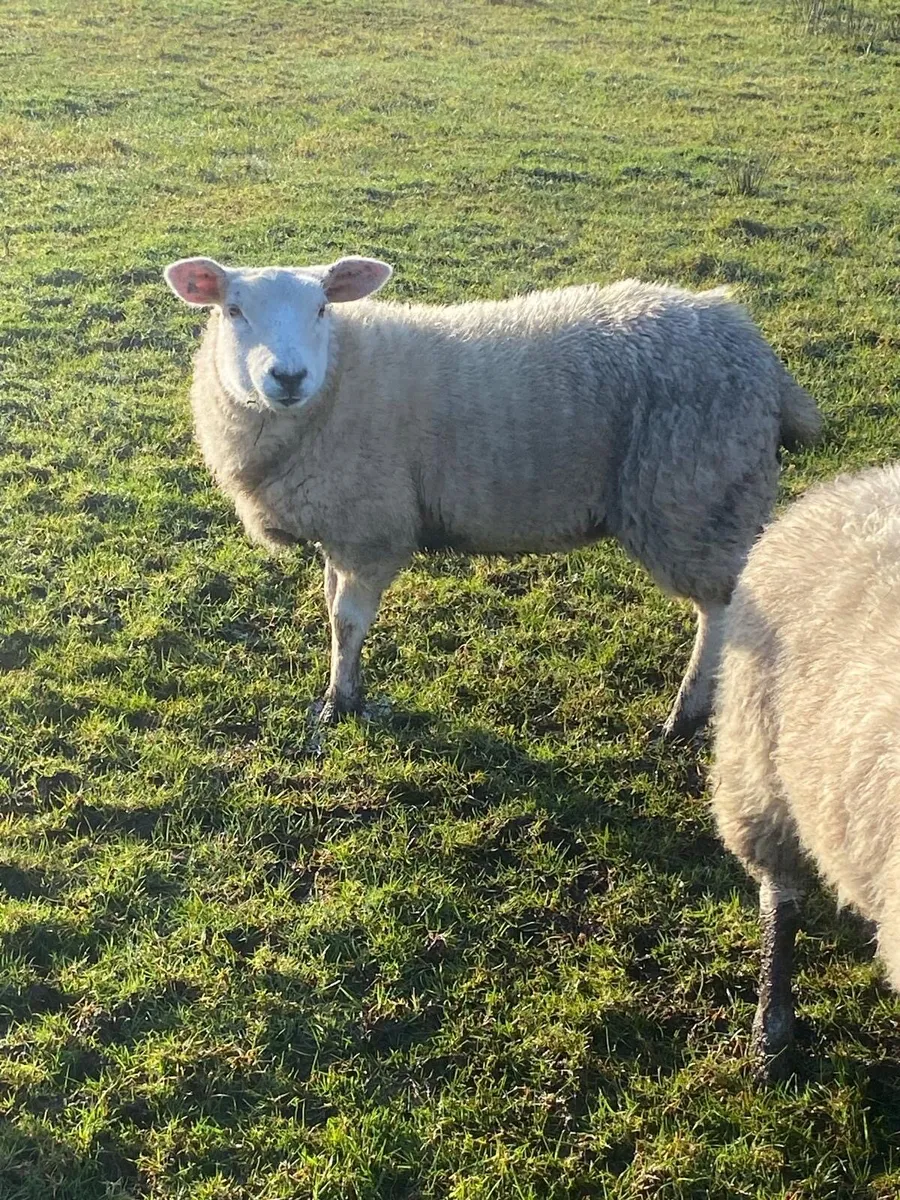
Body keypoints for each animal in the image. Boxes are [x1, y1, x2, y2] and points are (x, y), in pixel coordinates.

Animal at [163, 254, 822, 735]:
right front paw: (344, 691)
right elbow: (331, 613)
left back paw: (685, 714)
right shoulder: (341, 525)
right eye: (233, 310)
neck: (342, 377)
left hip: (695, 497)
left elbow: (348, 622)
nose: (289, 376)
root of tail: (746, 338)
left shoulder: (373, 528)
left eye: (323, 307)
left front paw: (339, 702)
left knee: (723, 612)